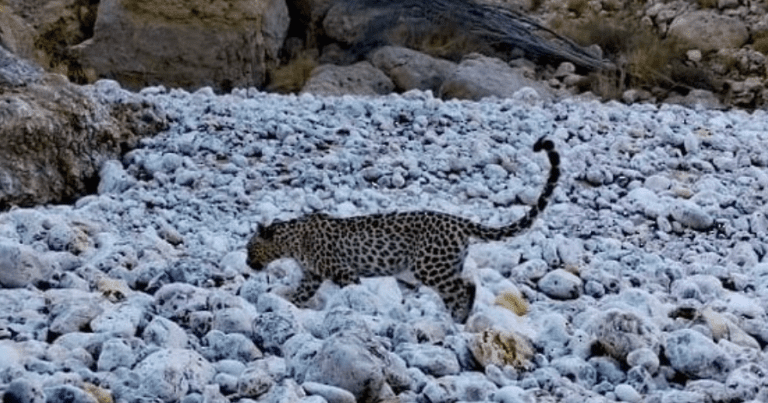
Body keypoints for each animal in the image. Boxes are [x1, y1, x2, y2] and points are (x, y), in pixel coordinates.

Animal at [246, 137, 560, 323]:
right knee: (465, 284)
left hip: (429, 266)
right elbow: (300, 294)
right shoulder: (312, 276)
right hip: (447, 263)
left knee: (463, 287)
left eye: (251, 248)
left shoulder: (343, 271)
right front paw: (287, 304)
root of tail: (459, 221)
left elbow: (351, 292)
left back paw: (458, 318)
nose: (248, 263)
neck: (292, 240)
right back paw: (455, 317)